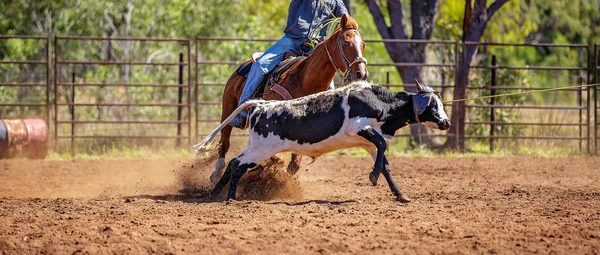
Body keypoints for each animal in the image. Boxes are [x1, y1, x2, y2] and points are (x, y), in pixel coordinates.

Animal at [195, 80, 452, 202]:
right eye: (434, 105)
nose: (446, 122)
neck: (380, 102)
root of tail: (261, 105)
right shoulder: (361, 127)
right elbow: (383, 145)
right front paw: (372, 176)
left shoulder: (368, 141)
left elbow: (385, 162)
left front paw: (400, 194)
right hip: (262, 149)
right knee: (238, 165)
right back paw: (230, 198)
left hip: (255, 146)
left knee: (232, 164)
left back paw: (213, 194)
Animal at [213, 13, 368, 181]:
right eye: (346, 43)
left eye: (363, 45)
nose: (361, 73)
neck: (304, 81)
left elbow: (294, 163)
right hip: (228, 107)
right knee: (224, 140)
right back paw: (217, 172)